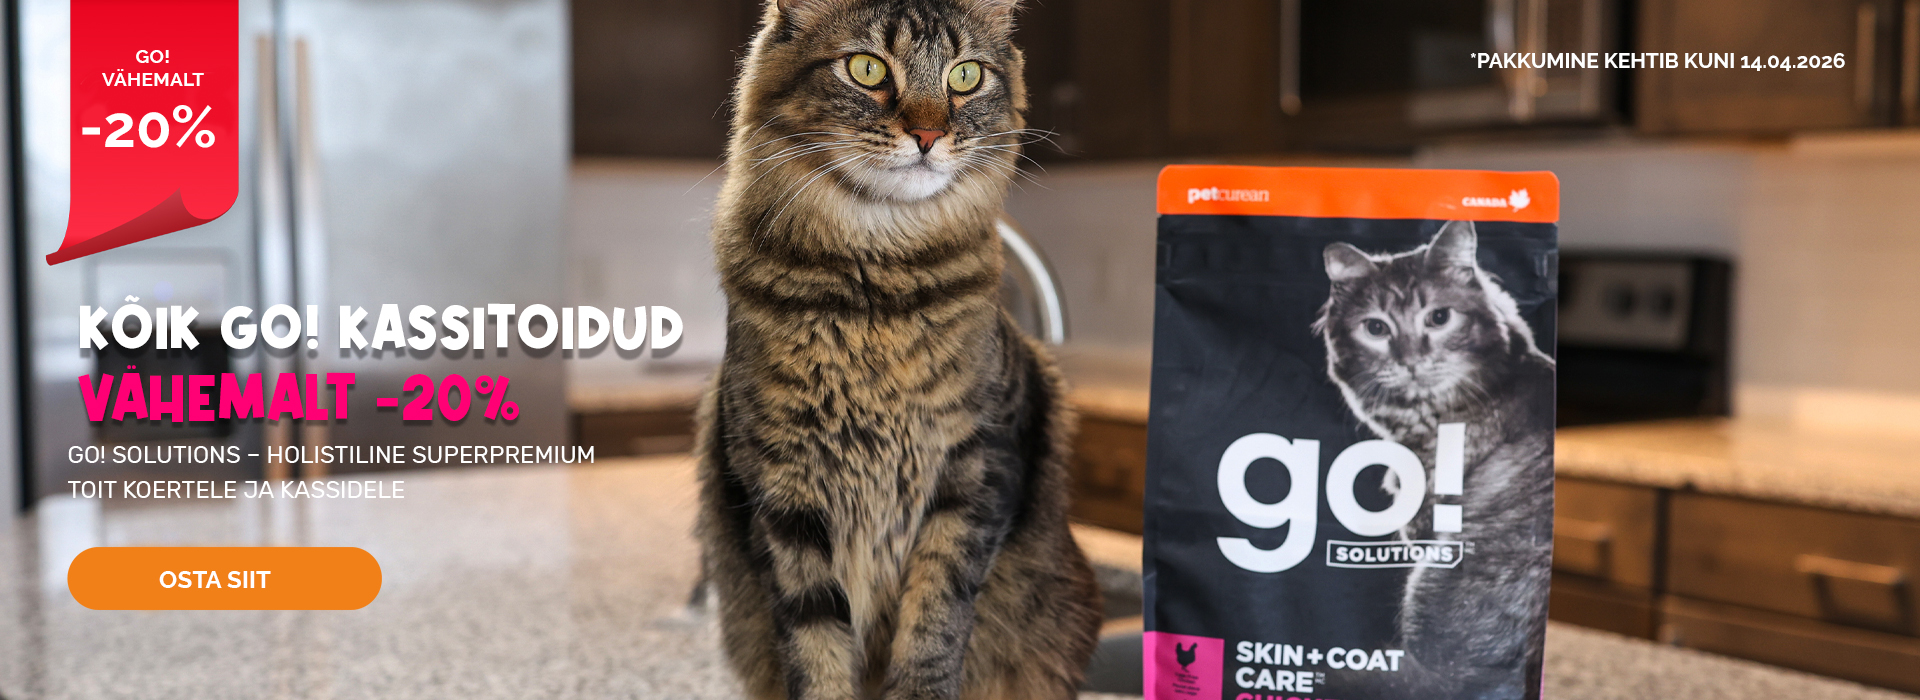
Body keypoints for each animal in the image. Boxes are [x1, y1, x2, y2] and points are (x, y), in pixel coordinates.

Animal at [693, 2, 1103, 700]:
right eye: (867, 69)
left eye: (965, 76)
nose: (929, 134)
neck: (875, 292)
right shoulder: (780, 491)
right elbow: (814, 641)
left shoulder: (977, 466)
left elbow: (934, 619)